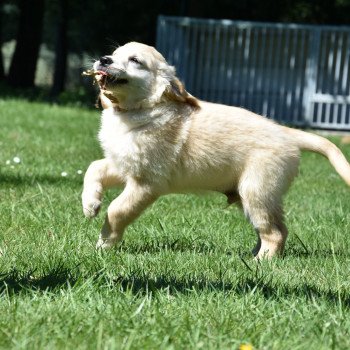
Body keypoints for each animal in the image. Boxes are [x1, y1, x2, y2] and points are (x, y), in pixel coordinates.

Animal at [82, 42, 350, 258]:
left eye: (135, 60)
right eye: (114, 54)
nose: (104, 59)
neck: (137, 110)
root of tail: (286, 132)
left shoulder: (145, 182)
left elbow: (117, 210)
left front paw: (104, 245)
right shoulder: (123, 164)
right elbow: (93, 168)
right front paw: (90, 204)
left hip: (257, 190)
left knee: (275, 232)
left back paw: (259, 263)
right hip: (250, 195)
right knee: (275, 228)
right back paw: (254, 253)